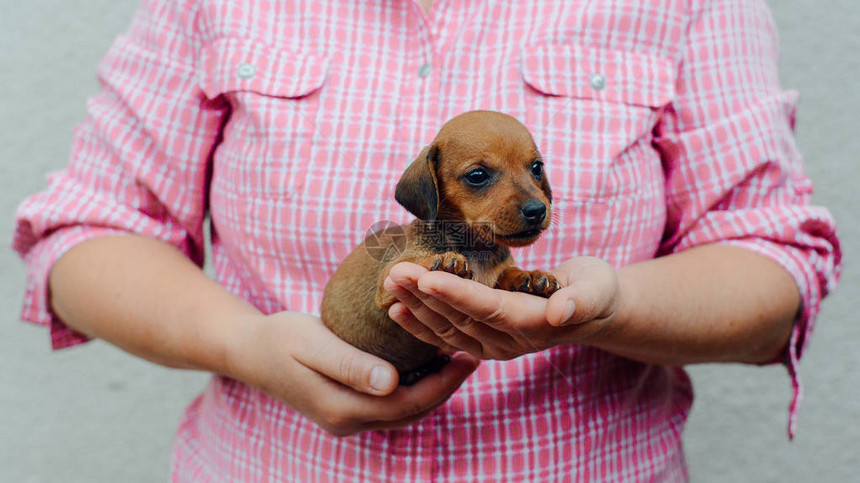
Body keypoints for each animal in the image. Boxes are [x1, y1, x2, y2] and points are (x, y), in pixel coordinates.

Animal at [320, 110, 560, 386]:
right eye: (477, 175)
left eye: (536, 168)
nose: (537, 210)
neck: (475, 247)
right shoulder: (390, 276)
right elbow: (417, 261)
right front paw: (445, 261)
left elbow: (507, 272)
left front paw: (529, 276)